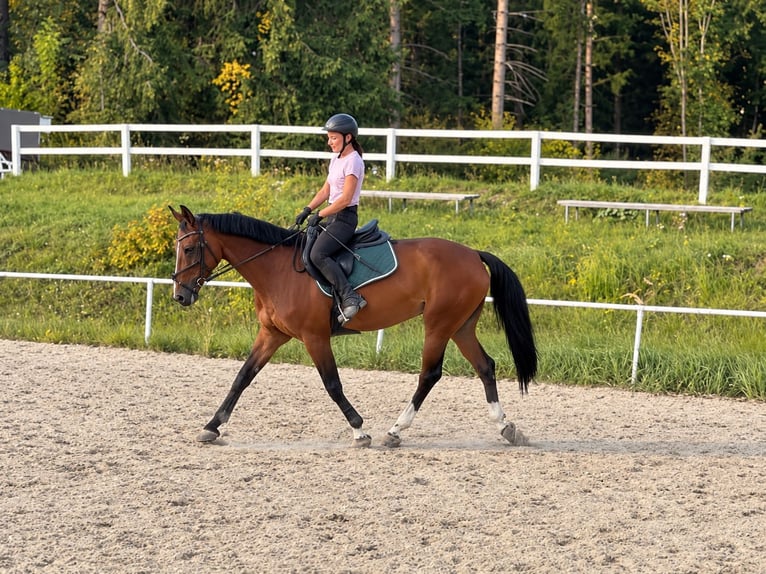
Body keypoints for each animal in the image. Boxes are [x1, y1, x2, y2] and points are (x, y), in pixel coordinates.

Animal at [169, 205, 537, 447]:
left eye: (189, 248)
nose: (180, 296)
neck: (277, 270)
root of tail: (473, 254)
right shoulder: (272, 335)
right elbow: (242, 378)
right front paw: (212, 427)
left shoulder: (314, 337)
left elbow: (332, 384)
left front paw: (360, 430)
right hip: (461, 326)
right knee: (485, 366)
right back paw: (506, 427)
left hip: (438, 324)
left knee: (429, 374)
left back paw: (395, 431)